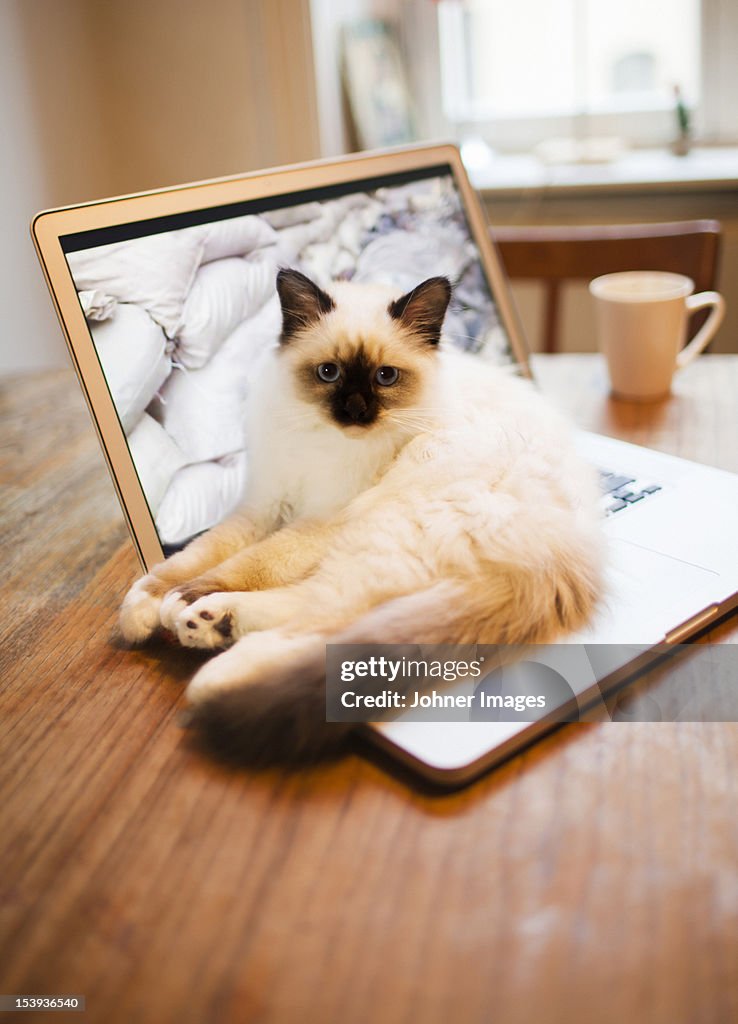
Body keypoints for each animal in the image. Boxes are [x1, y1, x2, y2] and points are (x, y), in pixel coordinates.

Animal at [122, 268, 605, 765]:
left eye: (386, 377)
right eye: (329, 373)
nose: (355, 411)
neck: (322, 443)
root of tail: (569, 558)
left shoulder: (322, 520)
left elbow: (248, 564)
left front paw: (180, 600)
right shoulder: (266, 503)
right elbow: (196, 555)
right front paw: (145, 604)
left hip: (377, 524)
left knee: (328, 614)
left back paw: (213, 661)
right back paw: (210, 628)